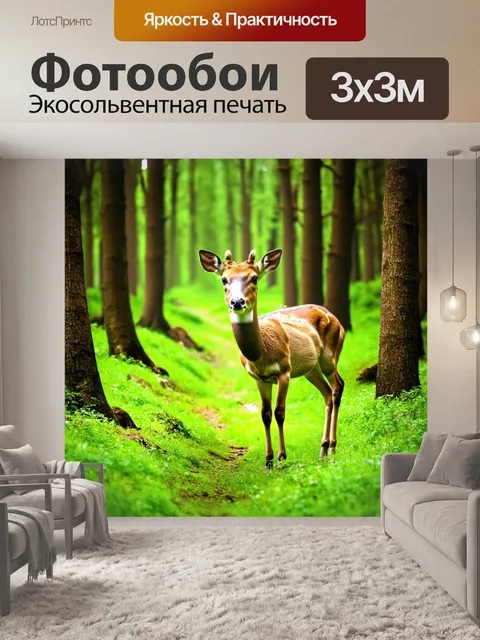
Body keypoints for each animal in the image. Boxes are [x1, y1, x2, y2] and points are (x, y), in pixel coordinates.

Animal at [199, 247, 345, 470]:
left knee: (338, 386)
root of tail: (338, 321)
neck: (261, 355)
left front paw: (281, 457)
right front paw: (267, 460)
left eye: (254, 278)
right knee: (327, 393)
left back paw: (333, 448)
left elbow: (279, 412)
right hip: (311, 369)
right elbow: (265, 414)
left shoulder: (284, 371)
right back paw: (323, 449)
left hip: (331, 354)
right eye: (224, 279)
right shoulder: (259, 378)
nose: (237, 302)